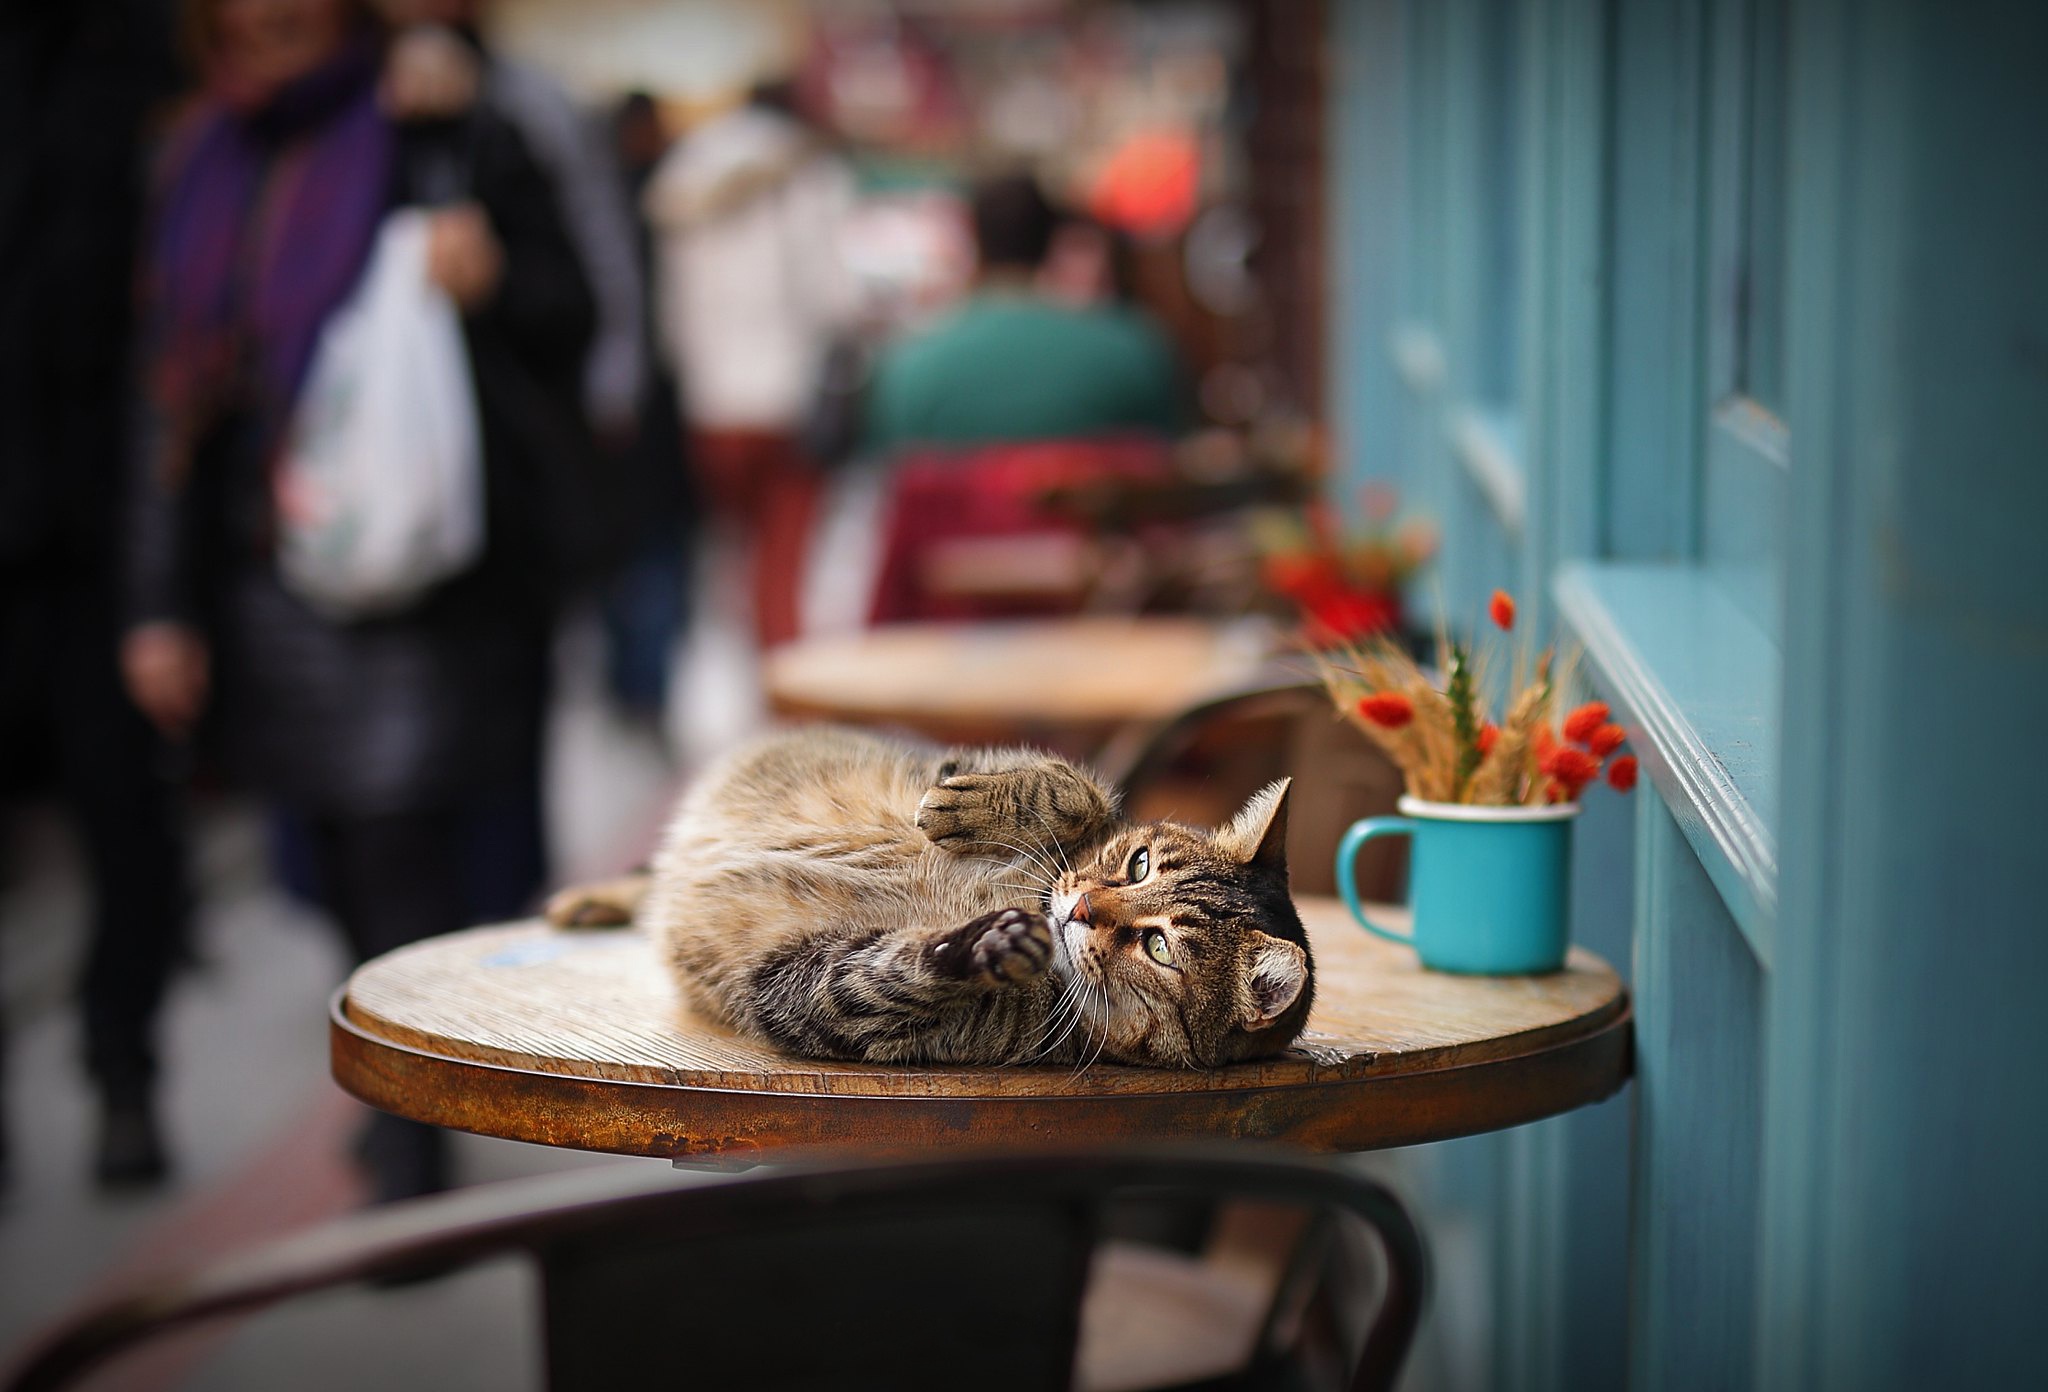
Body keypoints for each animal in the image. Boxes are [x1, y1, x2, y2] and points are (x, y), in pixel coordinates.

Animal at [544, 728, 1310, 1064]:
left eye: (1158, 947)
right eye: (1138, 863)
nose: (1081, 909)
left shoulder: (814, 991)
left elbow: (892, 973)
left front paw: (987, 943)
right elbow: (1074, 787)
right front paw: (968, 802)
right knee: (646, 878)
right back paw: (586, 900)